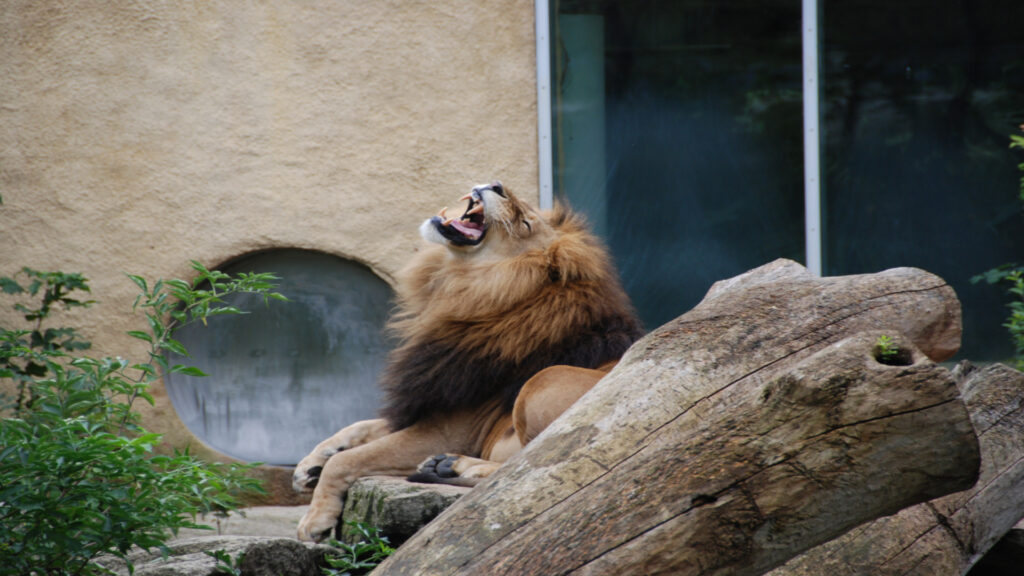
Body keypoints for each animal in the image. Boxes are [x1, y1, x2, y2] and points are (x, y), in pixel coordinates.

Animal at [294, 181, 643, 541]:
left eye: (525, 223)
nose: (496, 185)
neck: (460, 289)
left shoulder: (447, 432)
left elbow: (349, 460)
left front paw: (316, 518)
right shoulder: (427, 400)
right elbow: (360, 426)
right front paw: (311, 464)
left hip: (542, 382)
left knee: (540, 462)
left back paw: (456, 465)